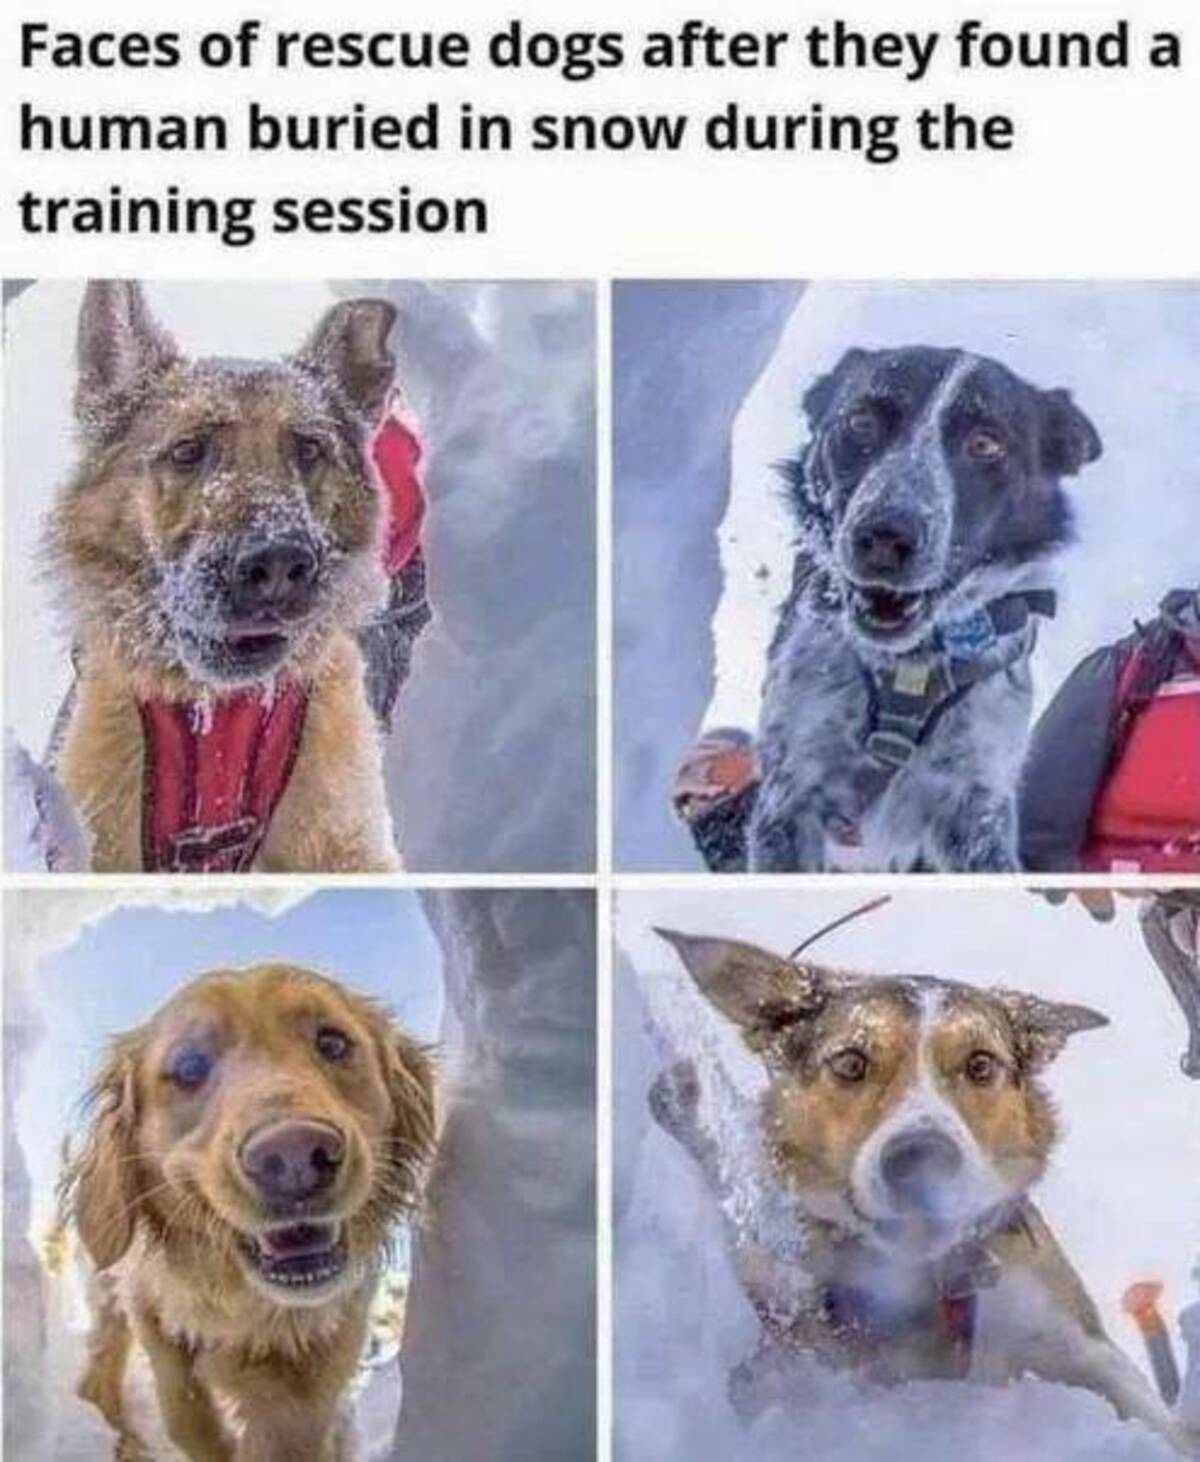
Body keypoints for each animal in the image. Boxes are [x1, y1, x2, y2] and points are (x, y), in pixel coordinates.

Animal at [58, 964, 438, 1456]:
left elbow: (290, 1431)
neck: (248, 1304)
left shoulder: (325, 1346)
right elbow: (183, 1407)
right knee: (102, 1362)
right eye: (189, 1067)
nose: (294, 1156)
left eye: (333, 1043)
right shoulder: (147, 1302)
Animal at [646, 929, 1186, 1456]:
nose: (922, 1157)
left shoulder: (1071, 1333)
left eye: (981, 1065)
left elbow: (1155, 1415)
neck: (925, 1281)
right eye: (850, 1062)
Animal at [748, 342, 1104, 865]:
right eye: (860, 422)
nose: (883, 536)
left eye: (986, 444)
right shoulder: (789, 799)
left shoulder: (976, 809)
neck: (909, 671)